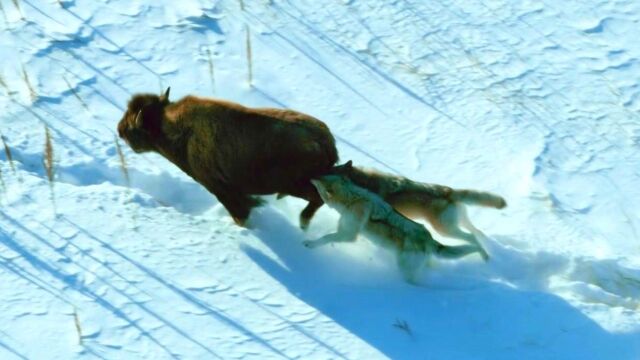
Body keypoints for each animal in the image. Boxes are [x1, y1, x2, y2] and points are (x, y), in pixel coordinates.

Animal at [117, 87, 338, 228]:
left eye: (133, 126)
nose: (119, 130)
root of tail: (325, 142)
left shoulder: (222, 190)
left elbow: (240, 213)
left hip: (296, 185)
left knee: (318, 199)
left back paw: (303, 222)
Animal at [304, 175, 480, 284]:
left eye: (320, 181)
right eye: (328, 173)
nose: (313, 176)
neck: (352, 199)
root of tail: (429, 239)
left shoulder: (348, 235)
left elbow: (326, 238)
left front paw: (309, 244)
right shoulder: (345, 229)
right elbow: (328, 235)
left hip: (407, 269)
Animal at [328, 160, 508, 258]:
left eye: (330, 170)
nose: (321, 173)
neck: (363, 181)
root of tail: (450, 191)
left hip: (445, 230)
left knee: (471, 237)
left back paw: (484, 255)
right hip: (459, 222)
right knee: (477, 231)